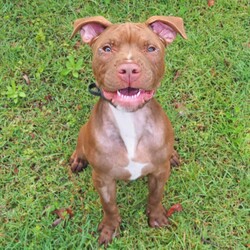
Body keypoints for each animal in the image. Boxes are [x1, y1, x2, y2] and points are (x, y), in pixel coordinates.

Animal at [70, 16, 186, 246]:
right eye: (106, 48)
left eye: (151, 48)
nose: (129, 69)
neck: (129, 118)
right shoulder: (103, 179)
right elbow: (109, 206)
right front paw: (110, 228)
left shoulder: (160, 172)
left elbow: (156, 196)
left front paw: (157, 218)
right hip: (84, 132)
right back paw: (78, 159)